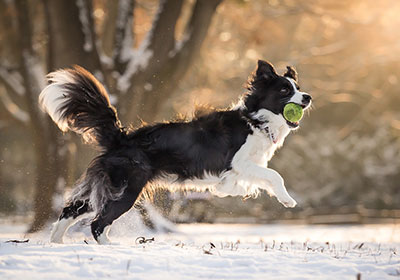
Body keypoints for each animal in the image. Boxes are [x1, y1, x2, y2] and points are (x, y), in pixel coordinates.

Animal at [39, 60, 310, 244]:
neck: (255, 120)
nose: (307, 97)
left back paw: (57, 244)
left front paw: (231, 191)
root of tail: (122, 138)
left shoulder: (247, 166)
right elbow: (274, 175)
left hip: (107, 187)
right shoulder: (239, 161)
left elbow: (254, 181)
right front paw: (288, 199)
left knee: (72, 209)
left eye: (298, 87)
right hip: (126, 189)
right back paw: (110, 248)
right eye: (285, 90)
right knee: (97, 223)